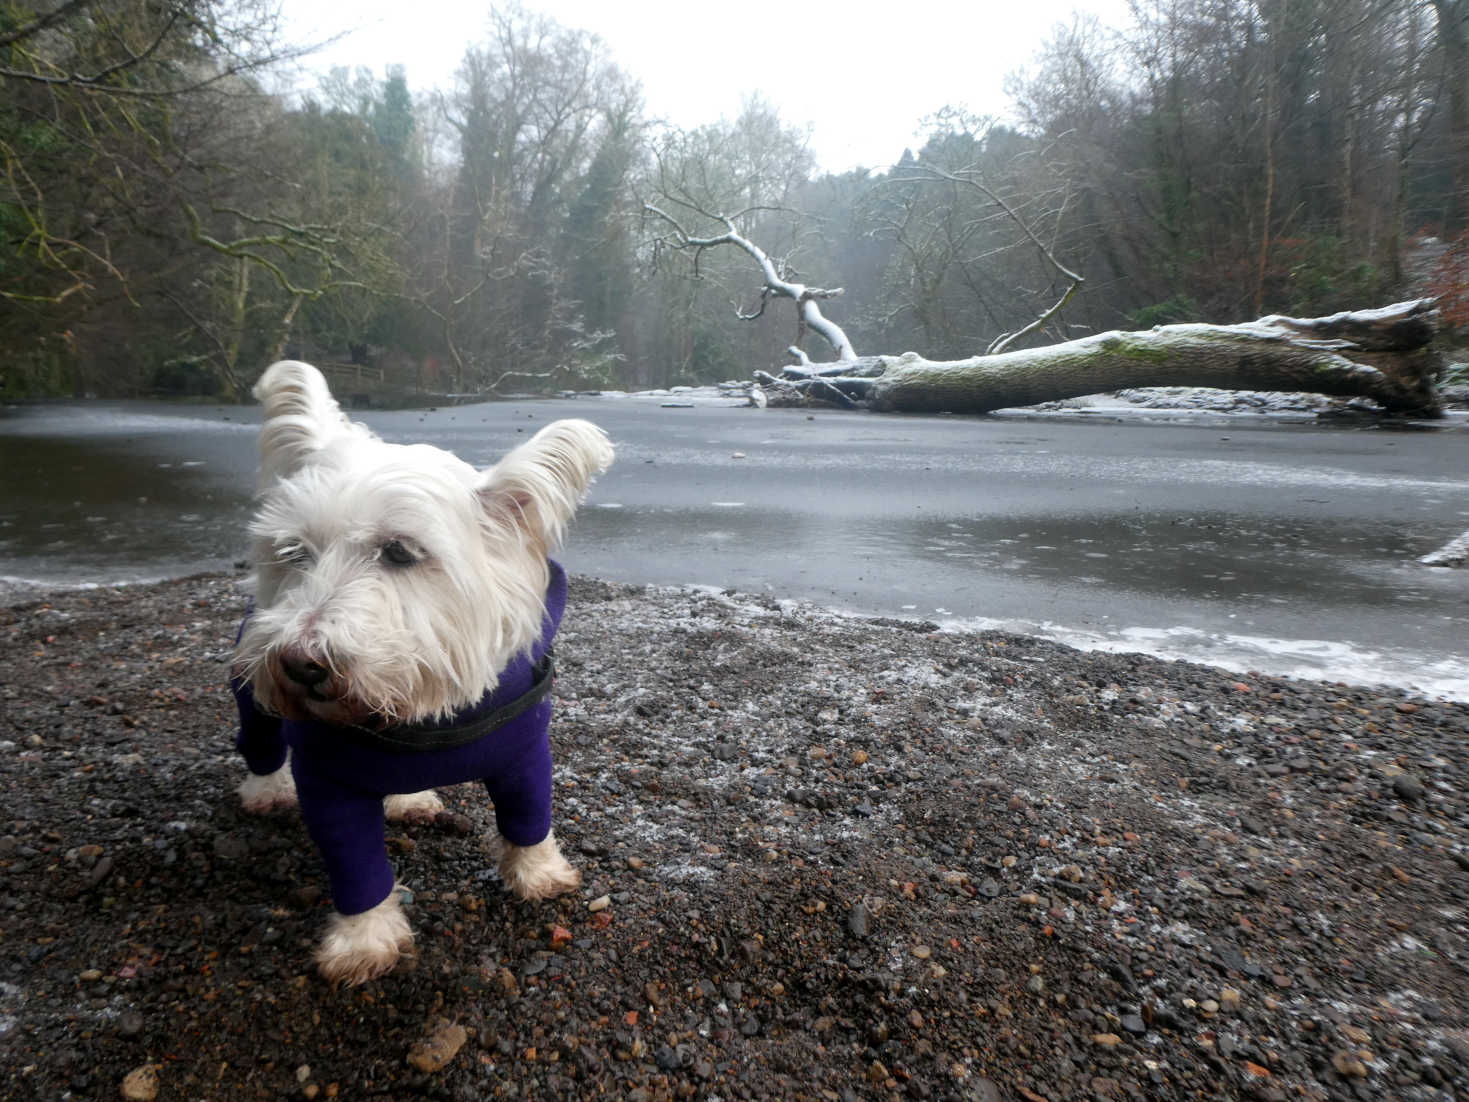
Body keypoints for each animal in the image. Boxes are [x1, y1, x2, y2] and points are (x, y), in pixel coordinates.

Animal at [227, 362, 614, 981]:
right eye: (293, 552)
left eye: (400, 552)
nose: (298, 663)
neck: (420, 718)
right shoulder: (328, 781)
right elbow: (357, 866)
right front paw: (362, 942)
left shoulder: (525, 755)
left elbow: (528, 818)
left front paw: (539, 875)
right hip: (249, 687)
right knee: (260, 743)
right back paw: (267, 789)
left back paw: (409, 800)